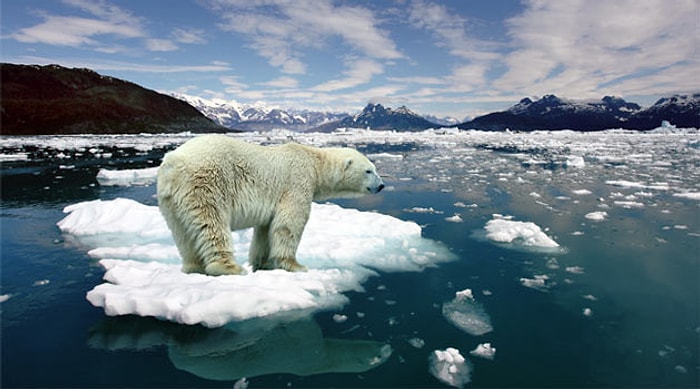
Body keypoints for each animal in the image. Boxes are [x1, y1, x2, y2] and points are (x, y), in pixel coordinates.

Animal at [157, 135, 386, 274]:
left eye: (375, 169)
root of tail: (173, 163)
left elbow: (265, 230)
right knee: (212, 224)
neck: (315, 162)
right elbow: (289, 223)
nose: (382, 185)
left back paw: (193, 267)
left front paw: (262, 264)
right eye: (369, 171)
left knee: (182, 233)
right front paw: (296, 265)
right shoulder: (296, 182)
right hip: (206, 183)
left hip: (171, 200)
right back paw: (229, 268)